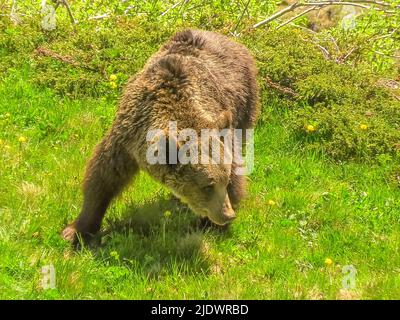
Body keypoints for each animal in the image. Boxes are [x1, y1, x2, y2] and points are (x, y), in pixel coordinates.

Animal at [62, 30, 260, 245]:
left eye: (224, 180)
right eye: (207, 186)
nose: (227, 215)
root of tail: (229, 39)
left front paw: (211, 225)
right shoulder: (126, 136)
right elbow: (103, 176)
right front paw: (76, 230)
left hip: (245, 102)